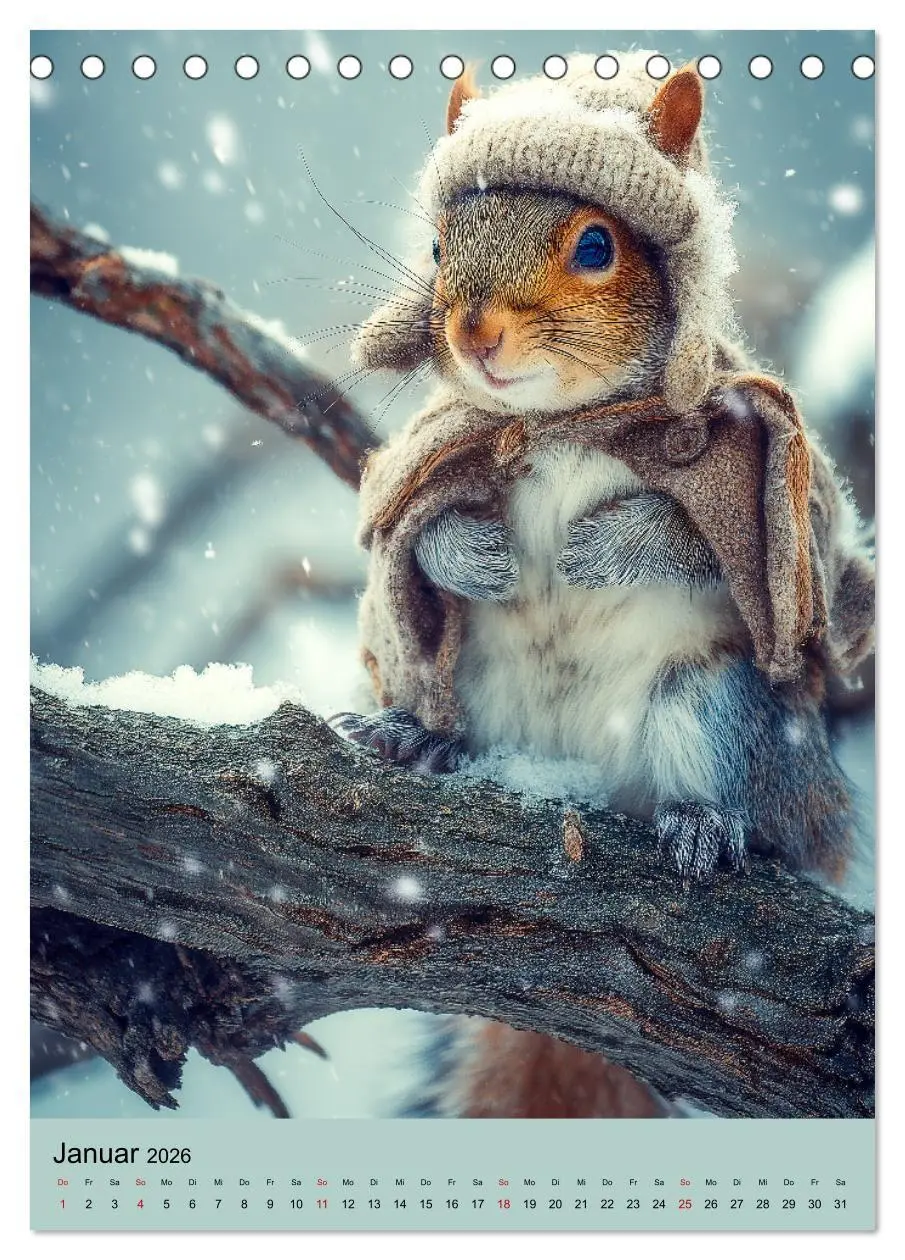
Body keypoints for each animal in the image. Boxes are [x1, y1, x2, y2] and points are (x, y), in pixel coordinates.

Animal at [330, 53, 875, 1117]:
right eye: (437, 244)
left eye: (595, 245)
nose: (474, 330)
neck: (560, 423)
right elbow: (417, 535)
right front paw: (473, 554)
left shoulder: (753, 485)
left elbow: (708, 545)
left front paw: (606, 545)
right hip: (477, 687)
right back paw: (418, 739)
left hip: (716, 709)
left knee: (726, 771)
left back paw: (703, 824)